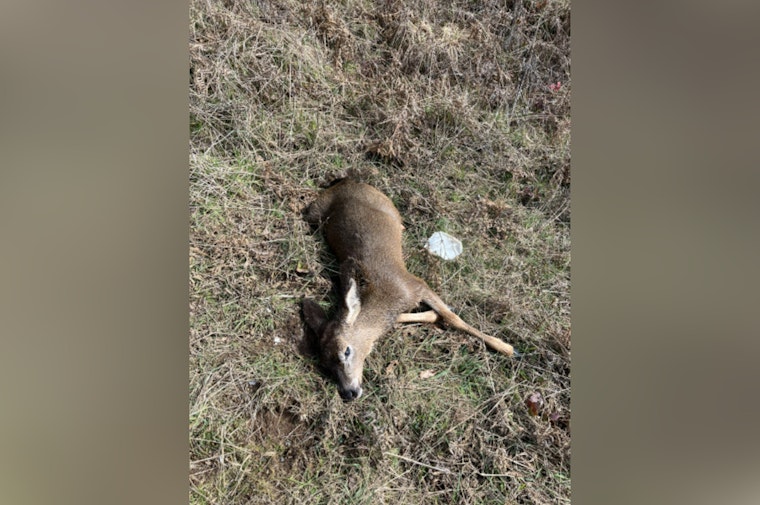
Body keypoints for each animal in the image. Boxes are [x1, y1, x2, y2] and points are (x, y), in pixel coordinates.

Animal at [301, 178, 515, 401]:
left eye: (346, 351)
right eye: (325, 364)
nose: (349, 392)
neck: (386, 300)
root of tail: (346, 180)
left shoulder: (416, 284)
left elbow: (453, 318)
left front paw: (506, 348)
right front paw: (433, 315)